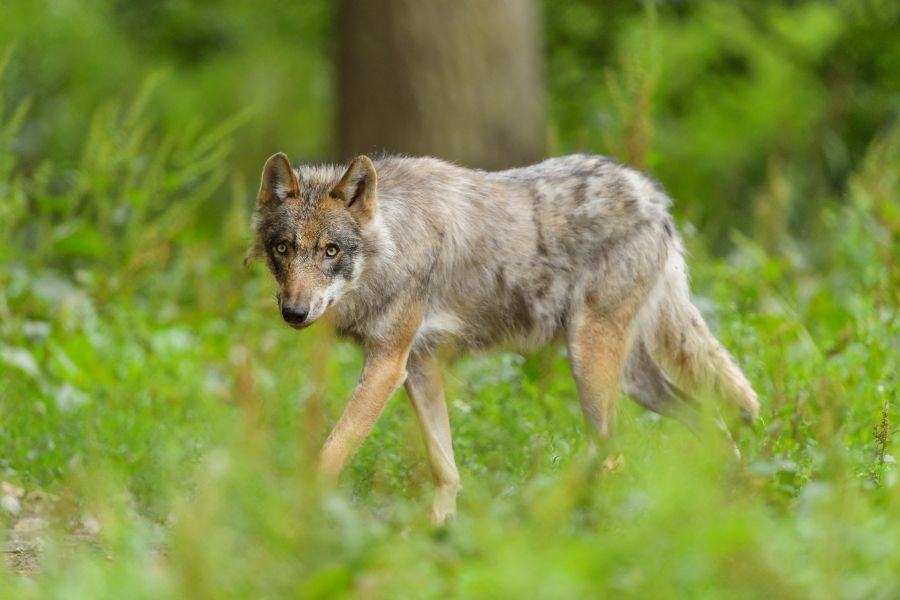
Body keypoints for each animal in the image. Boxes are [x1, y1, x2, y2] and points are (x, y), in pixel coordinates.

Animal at [248, 152, 759, 523]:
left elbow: (331, 453)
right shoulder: (419, 367)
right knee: (712, 421)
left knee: (613, 451)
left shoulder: (387, 366)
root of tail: (652, 197)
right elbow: (445, 467)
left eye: (331, 251)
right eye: (283, 248)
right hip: (634, 380)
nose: (294, 312)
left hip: (589, 364)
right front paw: (439, 534)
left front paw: (299, 515)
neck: (392, 245)